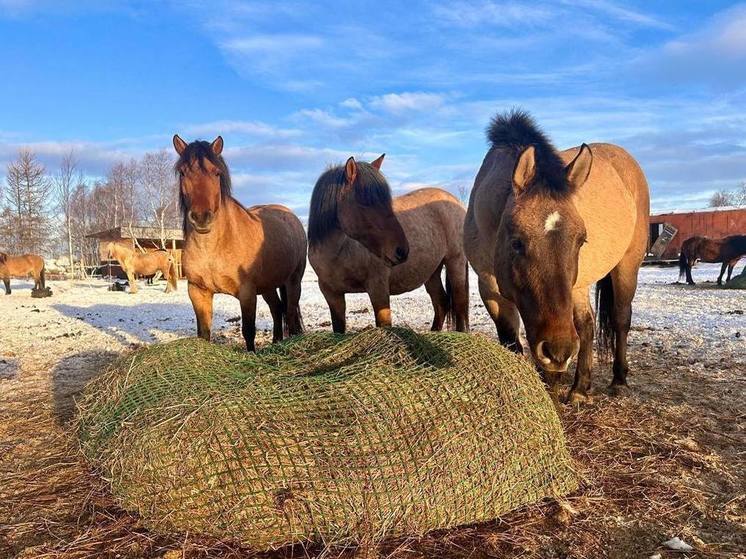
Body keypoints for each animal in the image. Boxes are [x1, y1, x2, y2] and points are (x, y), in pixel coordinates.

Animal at [172, 134, 306, 352]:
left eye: (216, 172)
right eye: (183, 172)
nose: (201, 218)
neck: (213, 248)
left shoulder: (247, 293)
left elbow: (248, 331)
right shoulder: (198, 292)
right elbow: (204, 334)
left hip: (294, 281)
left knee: (291, 312)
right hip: (268, 286)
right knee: (277, 308)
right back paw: (276, 341)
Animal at [306, 154, 468, 332]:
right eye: (365, 202)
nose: (402, 250)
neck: (339, 253)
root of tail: (456, 202)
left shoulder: (378, 288)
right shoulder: (332, 295)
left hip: (455, 262)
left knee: (459, 304)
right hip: (431, 272)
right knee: (441, 303)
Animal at [462, 109, 648, 404]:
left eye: (581, 240)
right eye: (517, 242)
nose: (558, 351)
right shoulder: (489, 288)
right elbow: (512, 343)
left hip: (626, 266)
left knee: (620, 319)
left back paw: (618, 380)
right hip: (578, 286)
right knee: (586, 325)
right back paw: (580, 388)